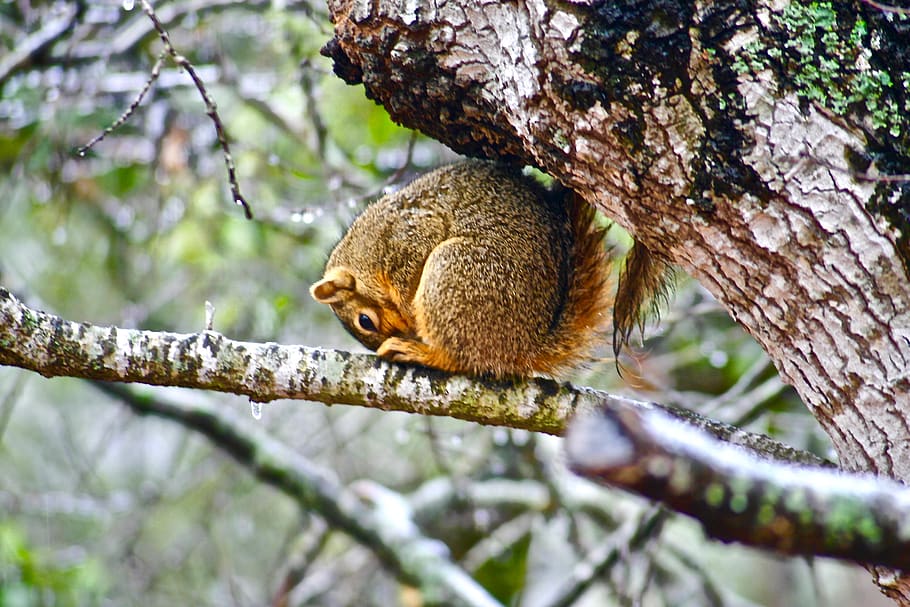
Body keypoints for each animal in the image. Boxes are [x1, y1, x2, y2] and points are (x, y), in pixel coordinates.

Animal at [310, 159, 614, 379]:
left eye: (365, 321)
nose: (410, 332)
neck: (366, 253)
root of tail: (524, 347)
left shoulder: (410, 234)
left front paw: (412, 317)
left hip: (456, 272)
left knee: (463, 359)